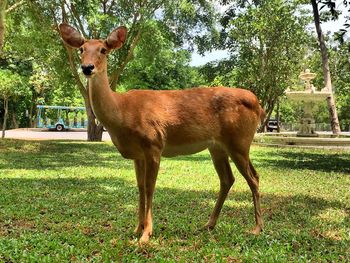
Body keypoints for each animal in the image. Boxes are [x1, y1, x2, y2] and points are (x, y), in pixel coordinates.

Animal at [58, 23, 264, 244]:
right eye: (81, 49)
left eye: (103, 50)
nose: (87, 68)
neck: (122, 113)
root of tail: (258, 104)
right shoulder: (138, 154)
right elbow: (140, 187)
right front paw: (136, 229)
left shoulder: (154, 143)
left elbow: (150, 187)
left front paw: (146, 235)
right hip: (217, 146)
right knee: (228, 179)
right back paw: (209, 224)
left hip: (239, 141)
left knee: (253, 177)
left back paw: (257, 228)